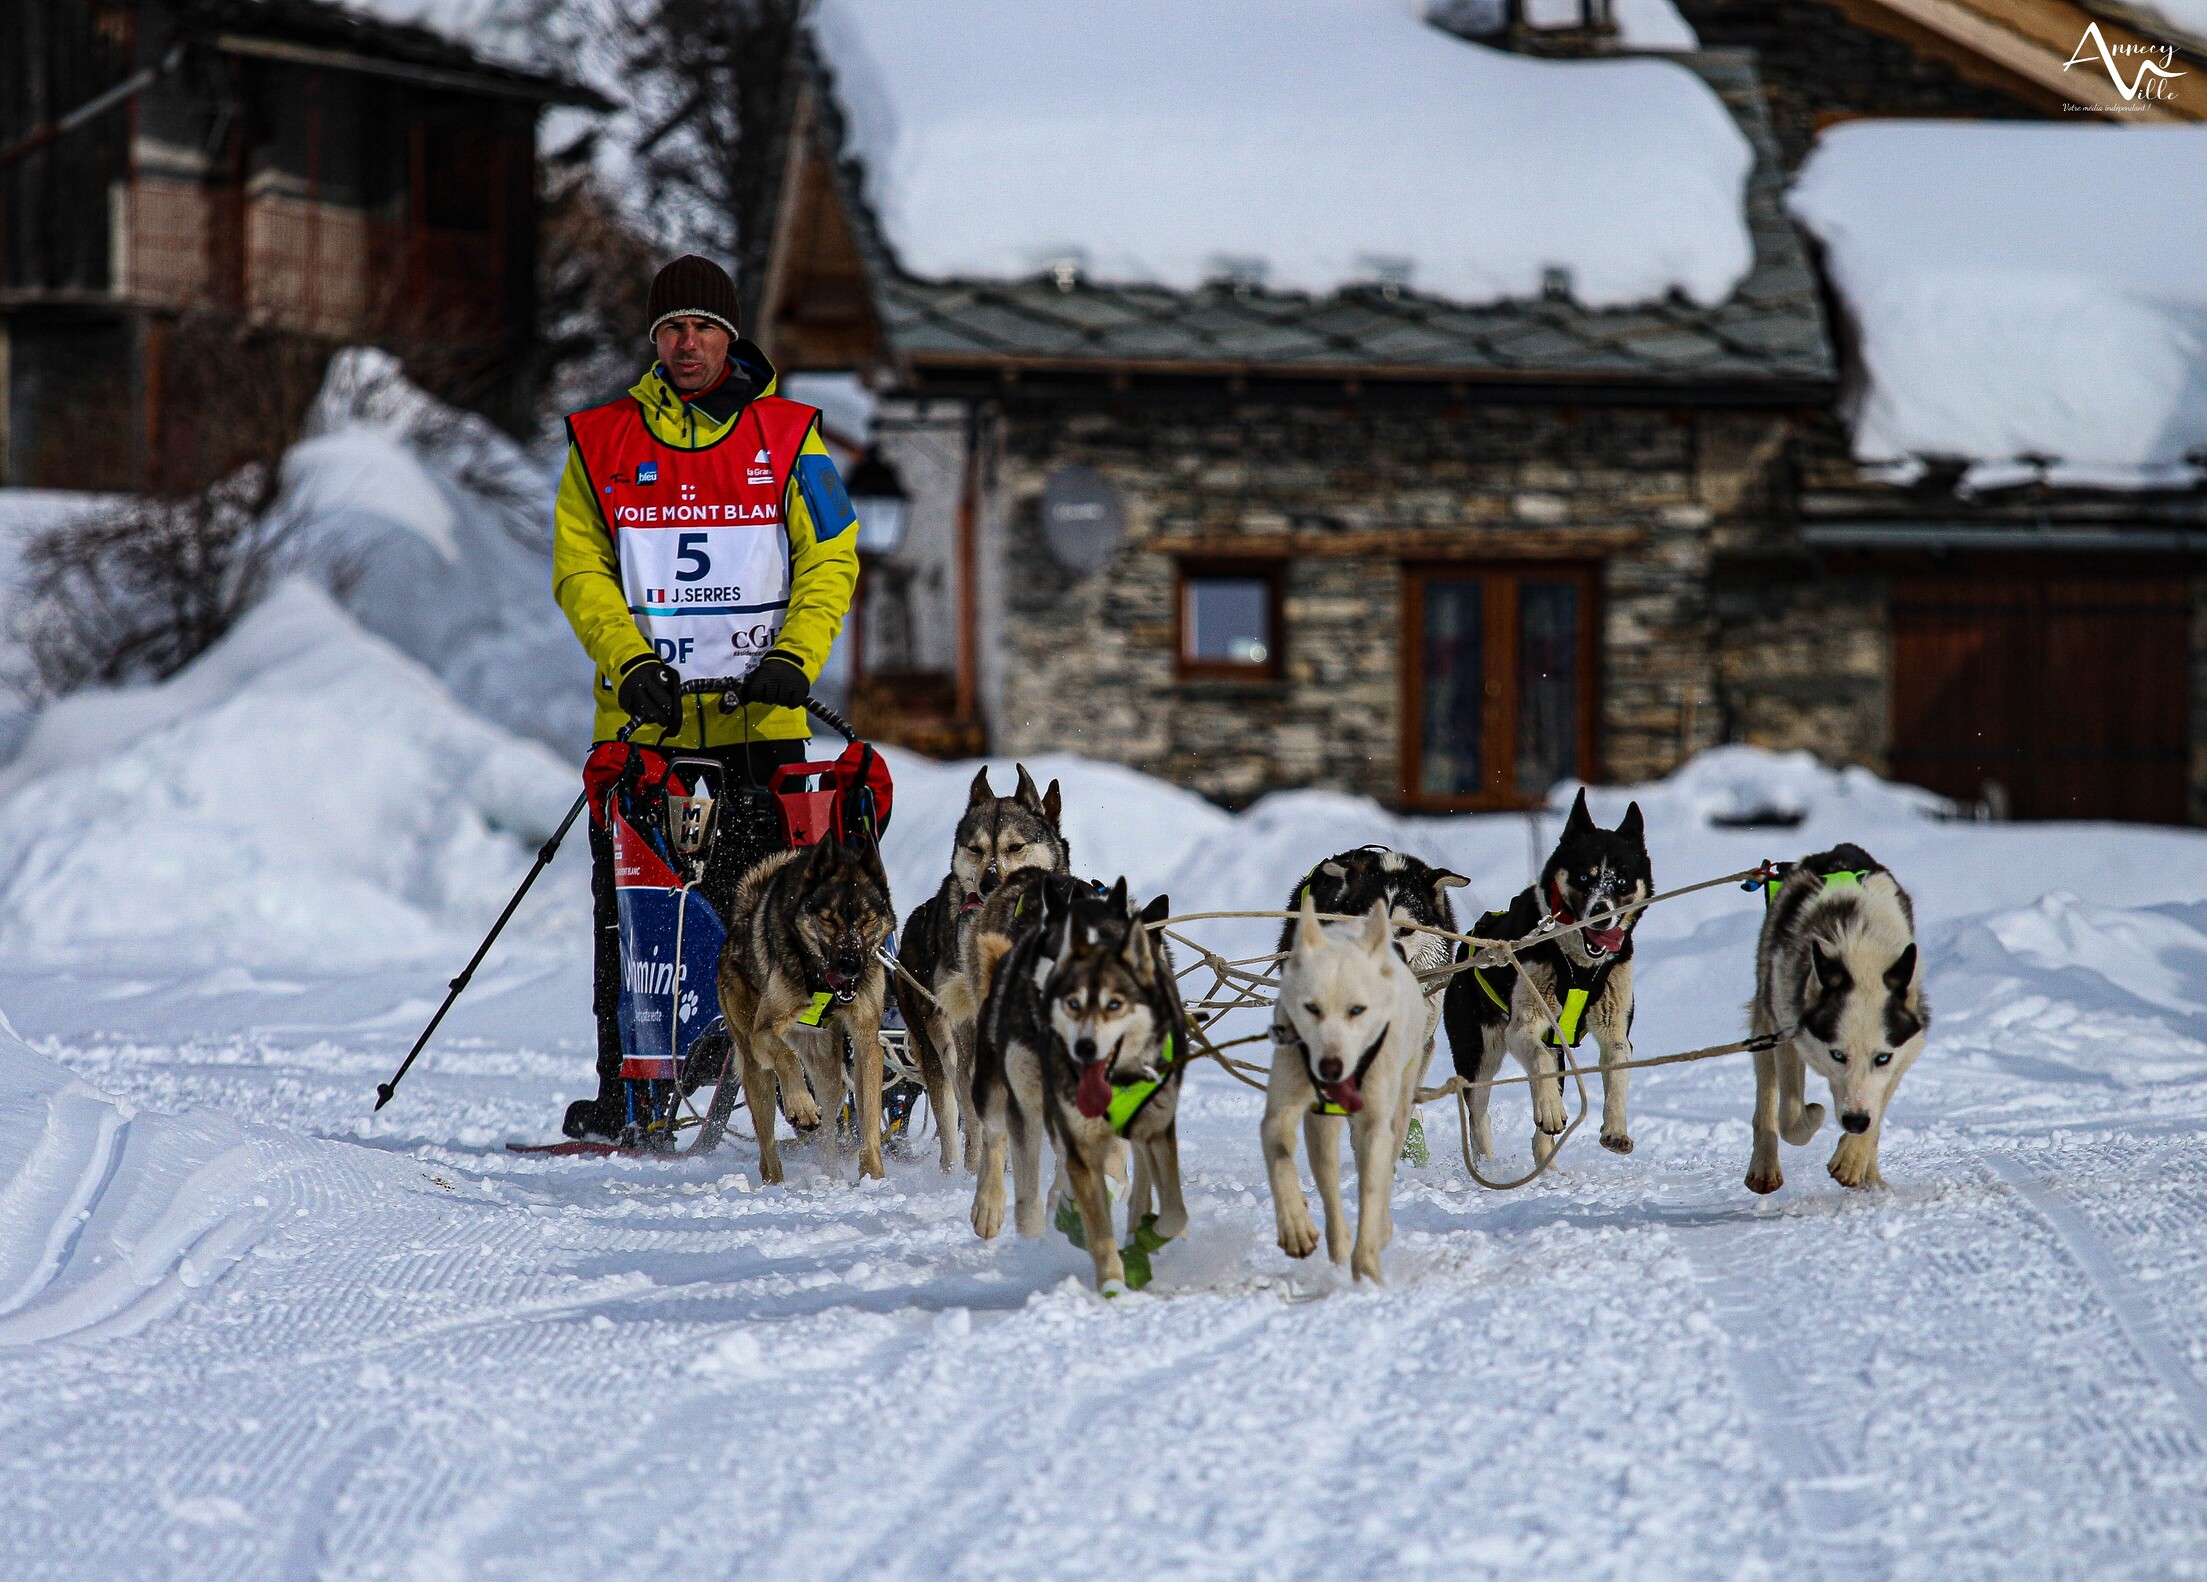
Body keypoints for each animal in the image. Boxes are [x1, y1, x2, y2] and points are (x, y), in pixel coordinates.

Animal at [1271, 886, 1438, 1279]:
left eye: (1358, 1009)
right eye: (1311, 1008)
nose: (1330, 1066)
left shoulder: (1375, 1122)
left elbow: (1373, 1186)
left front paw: (1367, 1266)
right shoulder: (1288, 1108)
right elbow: (1283, 1156)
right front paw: (1298, 1227)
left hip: (1399, 1099)